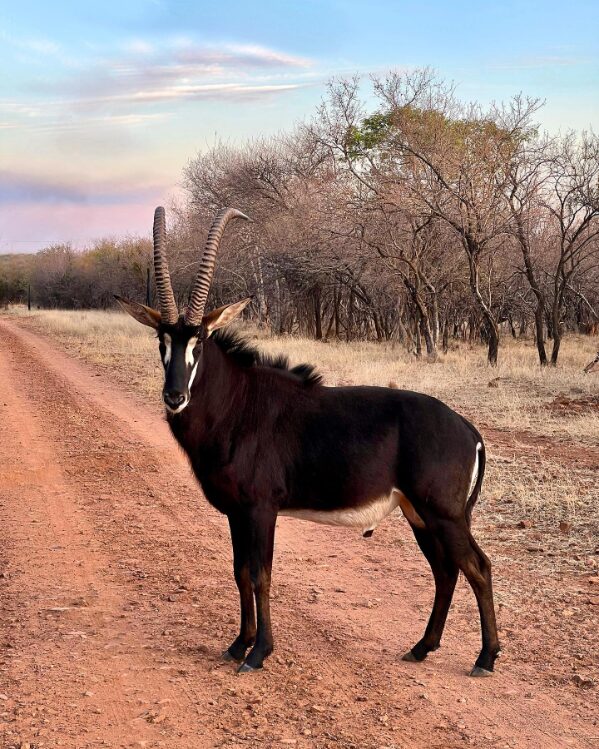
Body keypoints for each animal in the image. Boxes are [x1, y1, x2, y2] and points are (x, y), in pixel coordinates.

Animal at [116, 206, 501, 677]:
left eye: (199, 342)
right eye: (162, 340)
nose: (174, 396)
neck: (237, 404)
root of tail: (468, 430)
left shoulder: (261, 509)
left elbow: (260, 575)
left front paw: (259, 653)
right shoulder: (236, 512)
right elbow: (239, 572)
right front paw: (238, 644)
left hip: (444, 514)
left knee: (477, 567)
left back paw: (485, 657)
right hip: (420, 515)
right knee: (446, 572)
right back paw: (422, 647)